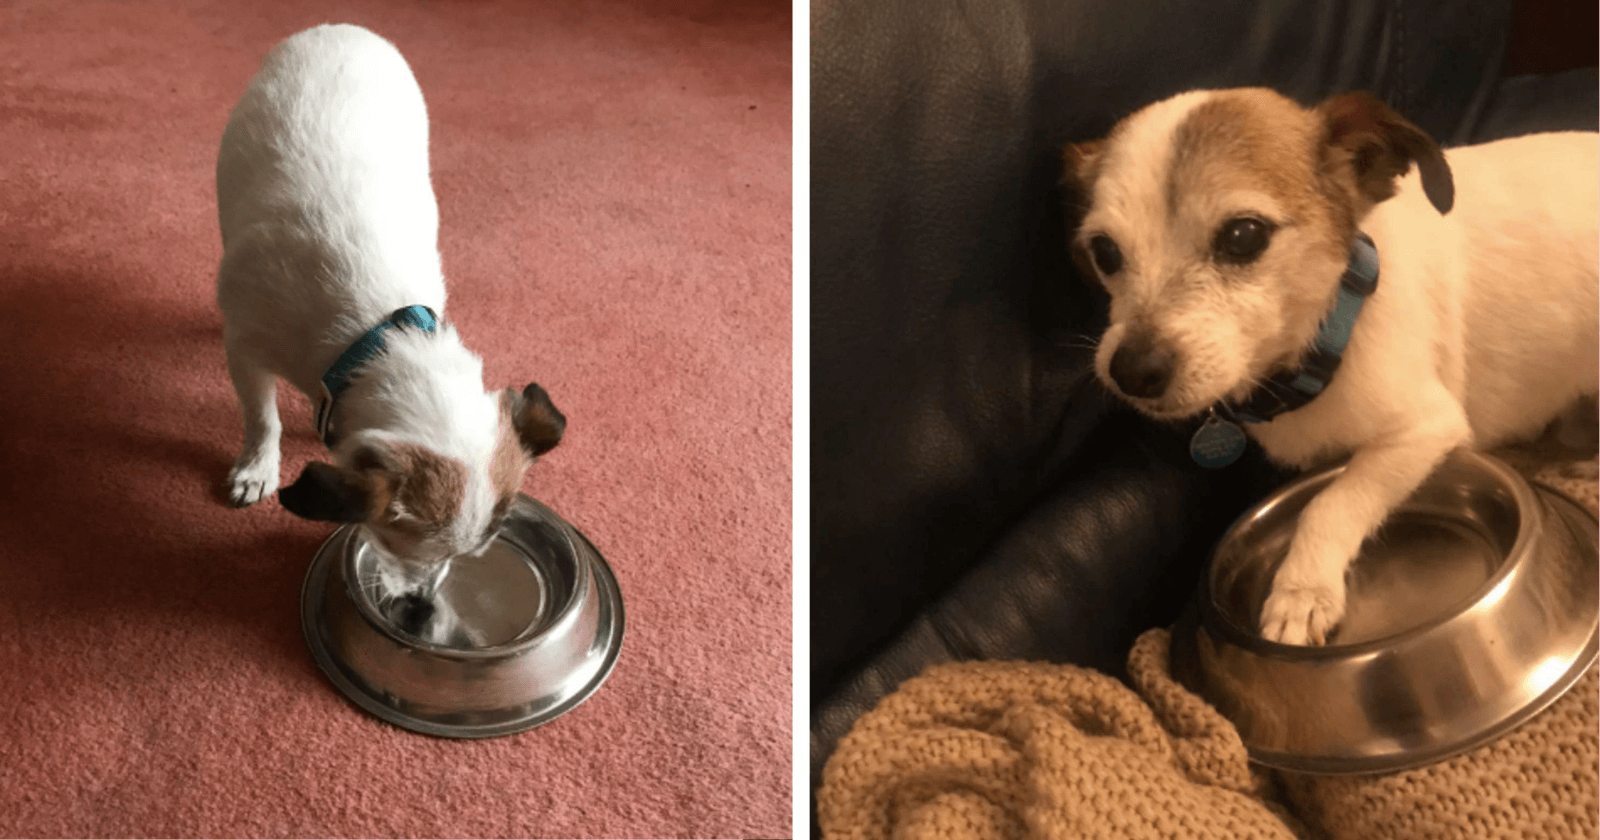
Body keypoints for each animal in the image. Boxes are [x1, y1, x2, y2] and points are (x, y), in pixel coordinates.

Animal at [209, 24, 566, 643]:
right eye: (394, 541)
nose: (421, 605)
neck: (376, 334)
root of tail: (343, 27)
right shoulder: (247, 350)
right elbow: (261, 418)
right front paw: (258, 466)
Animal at [1062, 88, 1600, 646]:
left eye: (1243, 236)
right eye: (1104, 251)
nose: (1131, 371)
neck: (1327, 333)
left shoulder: (1424, 430)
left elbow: (1331, 503)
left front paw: (1301, 591)